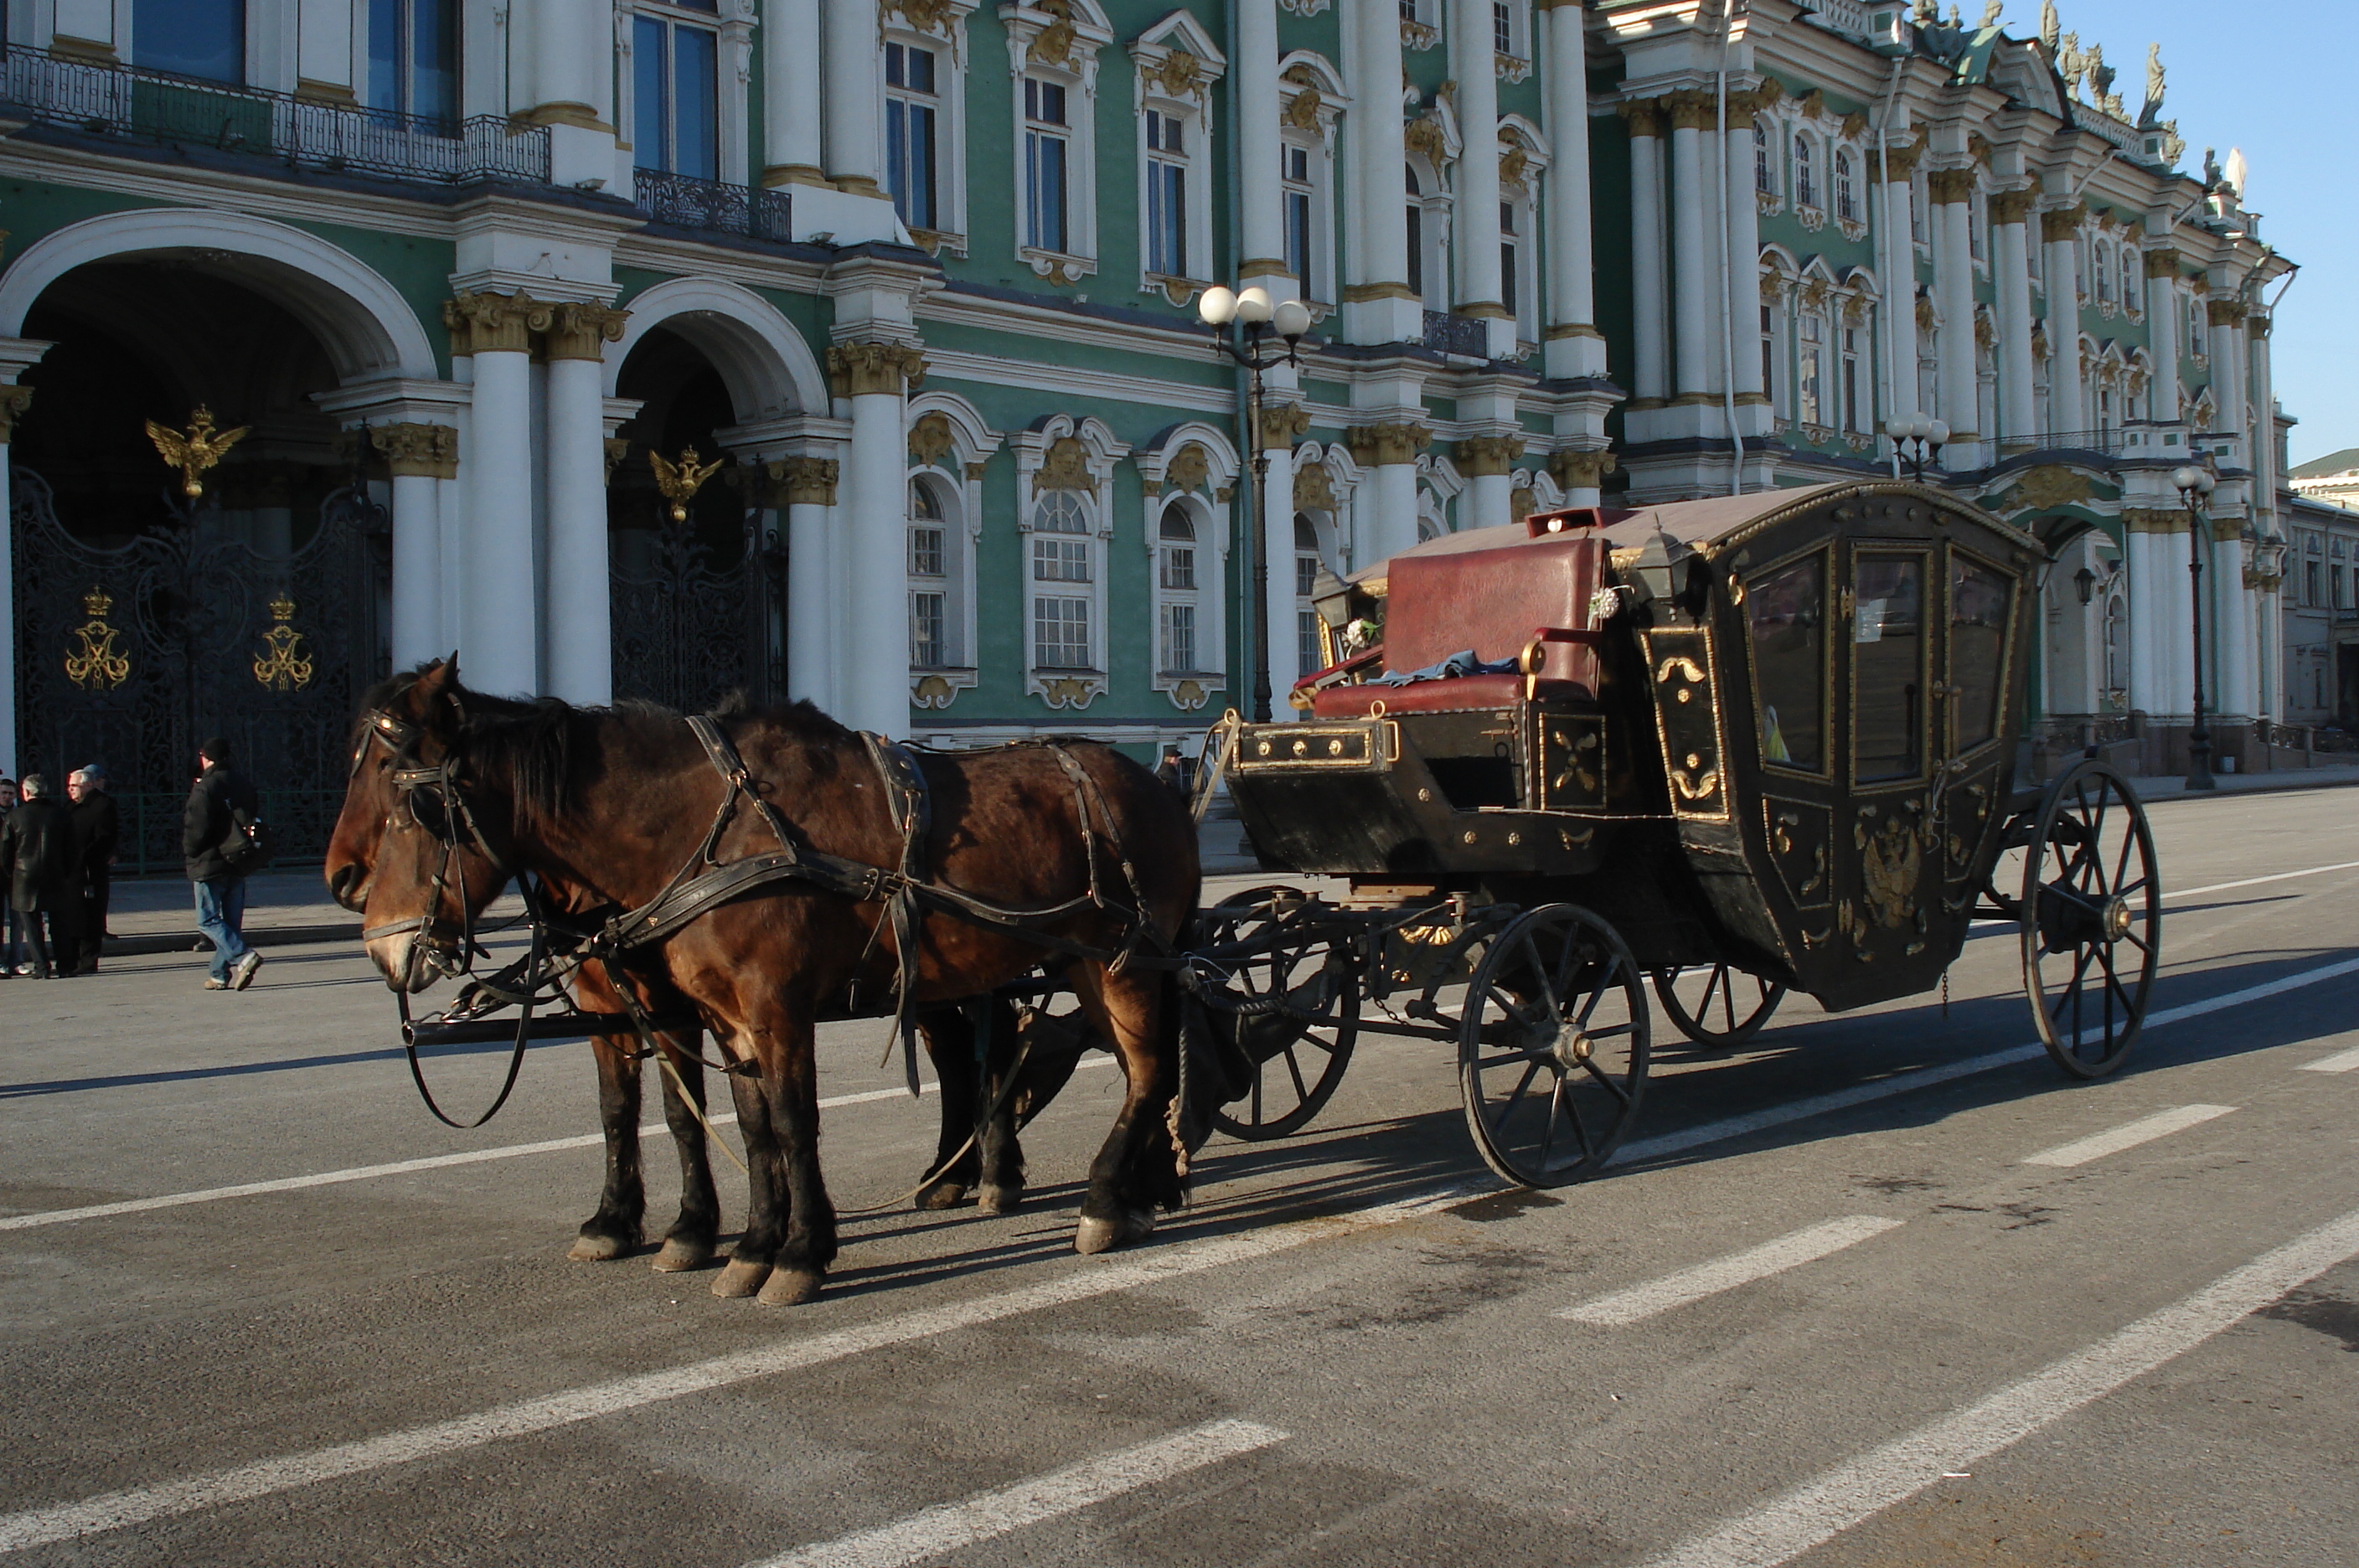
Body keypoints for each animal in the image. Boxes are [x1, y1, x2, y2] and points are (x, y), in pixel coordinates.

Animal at [328, 655, 1198, 1301]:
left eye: (408, 803)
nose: (361, 915)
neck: (707, 835)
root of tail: (1156, 785)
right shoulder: (704, 1015)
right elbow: (703, 1122)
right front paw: (734, 1240)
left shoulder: (770, 1010)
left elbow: (786, 1121)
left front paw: (797, 1252)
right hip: (1050, 968)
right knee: (1025, 1065)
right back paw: (1103, 1187)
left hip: (1116, 964)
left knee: (1145, 1070)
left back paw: (1100, 1199)